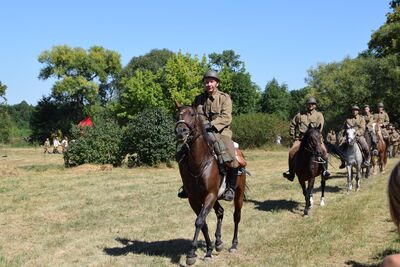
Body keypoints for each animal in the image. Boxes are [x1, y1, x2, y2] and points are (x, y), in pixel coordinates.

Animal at [175, 102, 247, 266]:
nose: (181, 131)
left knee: (236, 216)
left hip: (238, 195)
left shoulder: (210, 195)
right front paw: (208, 251)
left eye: (192, 114)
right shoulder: (195, 199)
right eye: (177, 115)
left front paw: (191, 254)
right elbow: (203, 224)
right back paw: (218, 243)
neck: (199, 163)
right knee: (220, 212)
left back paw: (233, 245)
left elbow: (199, 221)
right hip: (215, 199)